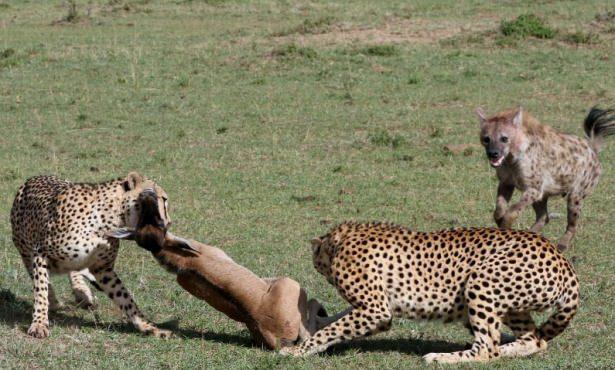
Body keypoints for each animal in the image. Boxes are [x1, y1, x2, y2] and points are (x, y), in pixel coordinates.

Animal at [10, 173, 173, 338]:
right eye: (163, 199)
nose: (169, 222)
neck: (110, 219)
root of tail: (35, 177)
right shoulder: (40, 254)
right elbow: (41, 290)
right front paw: (39, 323)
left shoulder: (103, 269)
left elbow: (125, 298)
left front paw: (148, 326)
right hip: (24, 250)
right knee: (39, 276)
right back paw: (56, 301)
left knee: (74, 271)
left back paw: (82, 292)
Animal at [282, 223, 580, 362]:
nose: (321, 271)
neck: (341, 240)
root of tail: (560, 257)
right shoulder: (378, 309)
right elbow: (336, 321)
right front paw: (313, 324)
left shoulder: (376, 310)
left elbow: (334, 330)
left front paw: (297, 350)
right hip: (511, 305)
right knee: (532, 341)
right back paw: (507, 349)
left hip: (480, 281)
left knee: (486, 347)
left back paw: (440, 357)